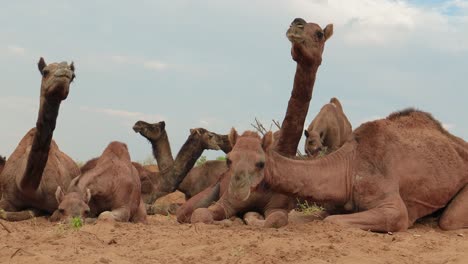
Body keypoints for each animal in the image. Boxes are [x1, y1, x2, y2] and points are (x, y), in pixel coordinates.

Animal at [0, 57, 79, 221]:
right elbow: (4, 212)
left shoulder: (55, 202)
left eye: (73, 76)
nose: (64, 70)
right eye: (45, 71)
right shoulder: (7, 197)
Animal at [176, 18, 332, 227]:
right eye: (296, 24)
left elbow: (274, 219)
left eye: (319, 34)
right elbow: (202, 214)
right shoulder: (228, 200)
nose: (296, 24)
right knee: (184, 212)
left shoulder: (279, 206)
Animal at [222, 109, 468, 231]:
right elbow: (293, 216)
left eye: (260, 163)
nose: (237, 188)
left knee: (449, 221)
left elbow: (332, 221)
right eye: (229, 160)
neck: (348, 167)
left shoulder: (393, 209)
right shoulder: (334, 203)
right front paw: (250, 216)